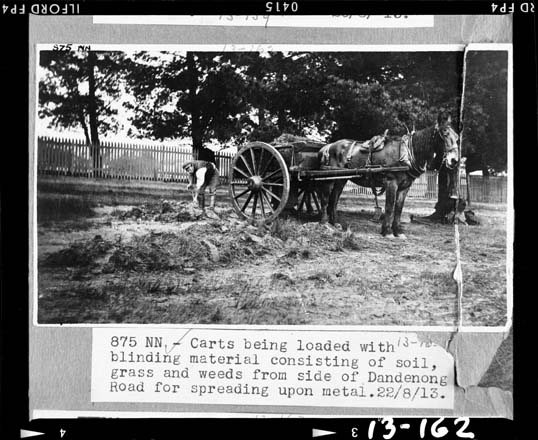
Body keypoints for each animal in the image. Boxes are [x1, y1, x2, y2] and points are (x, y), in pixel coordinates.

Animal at [316, 111, 458, 239]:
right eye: (444, 133)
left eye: (457, 136)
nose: (454, 160)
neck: (406, 153)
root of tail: (329, 146)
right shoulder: (391, 183)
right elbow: (390, 207)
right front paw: (388, 232)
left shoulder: (404, 187)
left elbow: (398, 208)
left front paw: (398, 232)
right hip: (330, 178)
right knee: (325, 198)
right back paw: (324, 222)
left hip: (342, 179)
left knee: (334, 198)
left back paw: (335, 223)